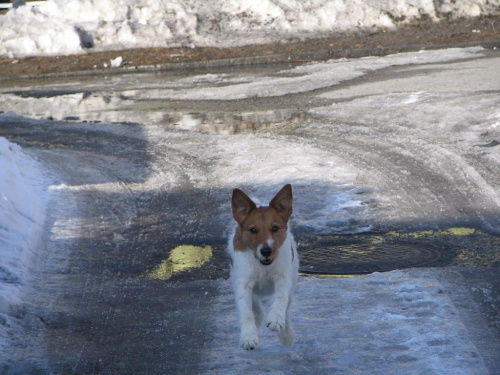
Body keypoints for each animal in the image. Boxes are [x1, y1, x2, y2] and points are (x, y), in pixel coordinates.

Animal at [229, 184, 298, 352]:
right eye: (253, 230)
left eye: (275, 228)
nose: (266, 251)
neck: (262, 265)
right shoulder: (242, 284)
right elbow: (246, 312)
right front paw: (249, 337)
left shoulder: (283, 277)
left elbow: (280, 298)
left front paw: (276, 319)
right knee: (254, 305)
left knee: (287, 308)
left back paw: (286, 334)